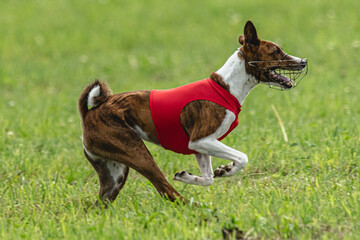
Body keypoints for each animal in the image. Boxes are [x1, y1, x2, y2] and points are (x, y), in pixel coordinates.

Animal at [78, 21, 306, 204]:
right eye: (276, 51)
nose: (303, 61)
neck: (225, 88)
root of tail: (89, 113)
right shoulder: (200, 140)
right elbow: (242, 157)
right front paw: (230, 168)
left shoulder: (200, 148)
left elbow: (208, 178)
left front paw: (202, 174)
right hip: (138, 153)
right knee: (168, 192)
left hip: (115, 175)